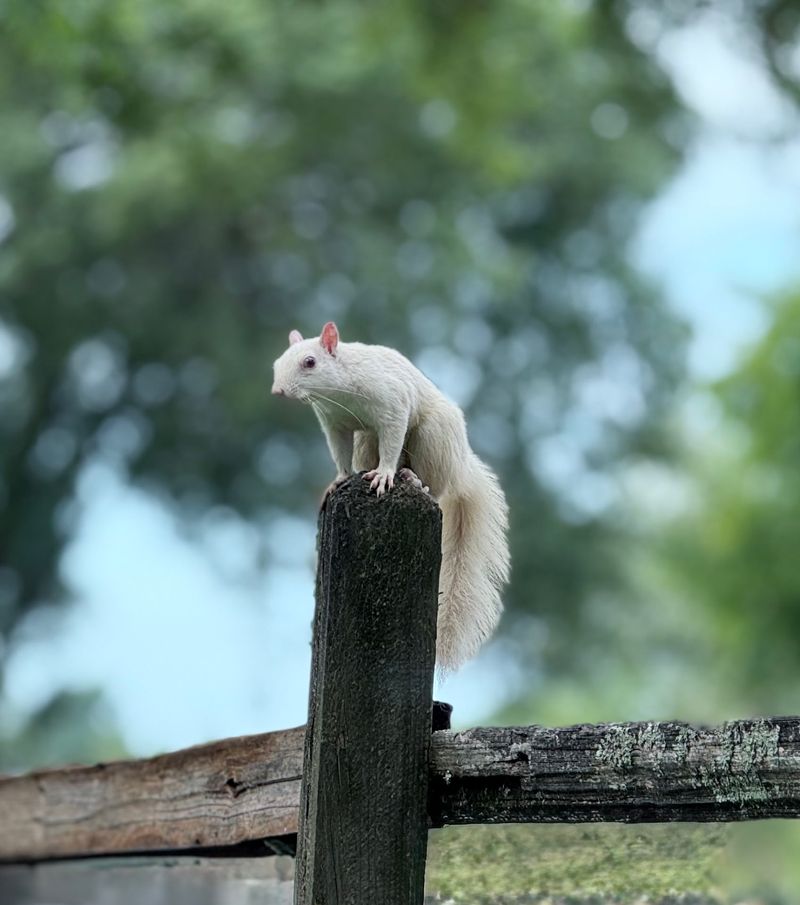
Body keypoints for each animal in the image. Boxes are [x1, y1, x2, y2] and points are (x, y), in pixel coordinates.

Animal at [271, 321, 510, 671]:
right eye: (278, 363)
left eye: (310, 362)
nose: (278, 391)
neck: (339, 393)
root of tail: (462, 464)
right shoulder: (334, 422)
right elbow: (339, 452)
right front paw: (339, 480)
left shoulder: (392, 405)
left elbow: (393, 440)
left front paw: (384, 475)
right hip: (365, 440)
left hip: (434, 437)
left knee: (434, 485)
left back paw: (412, 478)